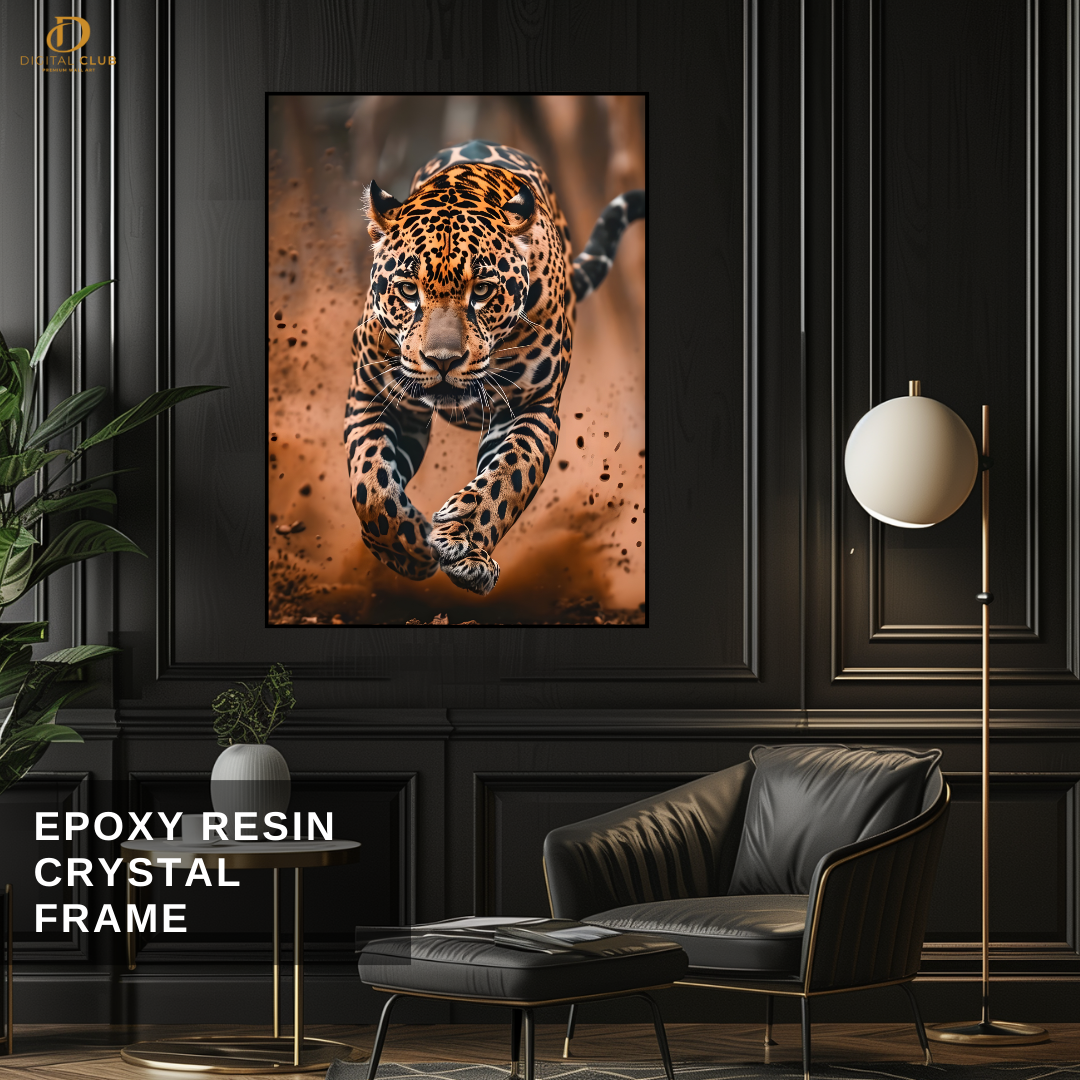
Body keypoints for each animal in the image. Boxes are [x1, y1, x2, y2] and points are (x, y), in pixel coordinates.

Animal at [344, 139, 644, 596]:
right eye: (408, 290)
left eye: (482, 290)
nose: (443, 361)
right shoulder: (372, 396)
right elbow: (370, 483)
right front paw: (408, 548)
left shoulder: (533, 409)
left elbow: (508, 476)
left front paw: (464, 544)